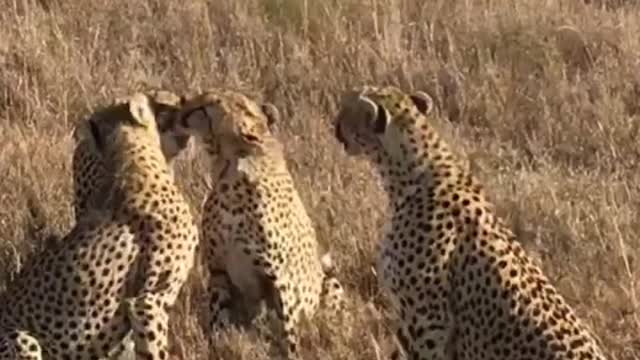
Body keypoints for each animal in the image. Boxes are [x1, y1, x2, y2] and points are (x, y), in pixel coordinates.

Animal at [171, 89, 344, 358]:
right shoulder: (218, 270)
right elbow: (218, 318)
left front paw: (291, 352)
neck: (230, 172)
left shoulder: (280, 278)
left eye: (206, 106)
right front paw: (218, 346)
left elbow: (287, 332)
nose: (182, 101)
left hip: (330, 282)